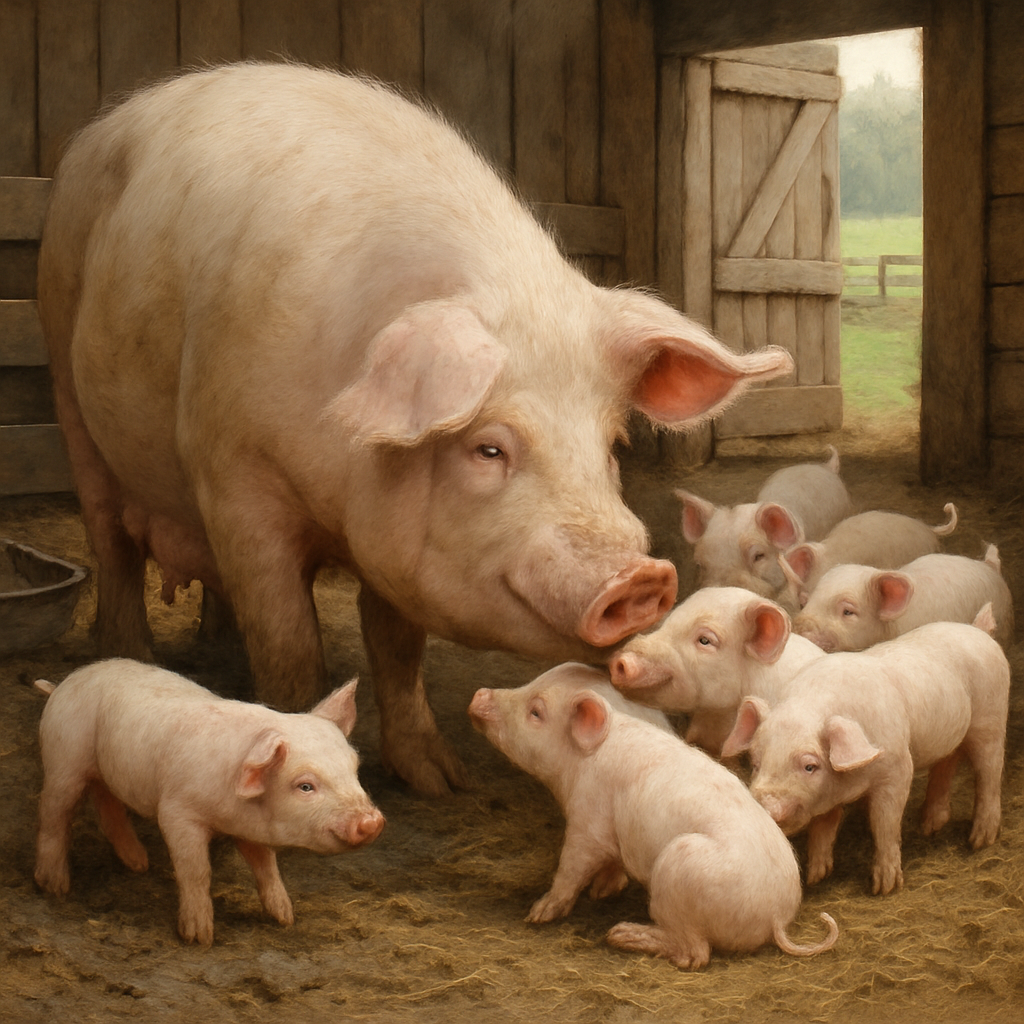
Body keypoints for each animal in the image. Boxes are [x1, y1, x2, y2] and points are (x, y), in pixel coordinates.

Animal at [34, 658, 384, 945]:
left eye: (354, 769)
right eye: (305, 786)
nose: (372, 821)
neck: (233, 813)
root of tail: (63, 684)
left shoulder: (249, 829)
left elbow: (266, 866)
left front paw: (285, 918)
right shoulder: (176, 811)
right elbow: (196, 871)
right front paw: (199, 938)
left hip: (104, 771)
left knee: (108, 807)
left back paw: (139, 864)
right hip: (64, 758)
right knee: (53, 814)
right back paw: (55, 887)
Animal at [37, 63, 793, 797]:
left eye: (613, 447)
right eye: (488, 448)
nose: (640, 578)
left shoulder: (392, 546)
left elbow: (396, 645)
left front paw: (440, 784)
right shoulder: (235, 476)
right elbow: (289, 644)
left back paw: (218, 657)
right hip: (67, 373)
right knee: (112, 543)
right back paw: (130, 656)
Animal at [468, 667, 838, 969]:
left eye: (536, 712)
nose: (479, 694)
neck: (578, 764)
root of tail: (777, 918)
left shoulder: (588, 821)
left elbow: (571, 868)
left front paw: (537, 914)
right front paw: (602, 892)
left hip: (680, 870)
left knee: (695, 954)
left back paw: (621, 934)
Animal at [722, 610, 1010, 894]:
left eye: (809, 766)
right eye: (755, 763)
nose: (767, 805)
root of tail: (977, 629)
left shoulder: (897, 768)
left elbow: (884, 823)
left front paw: (884, 888)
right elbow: (823, 827)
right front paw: (816, 877)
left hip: (991, 717)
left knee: (990, 771)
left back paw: (980, 840)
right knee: (947, 763)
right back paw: (929, 827)